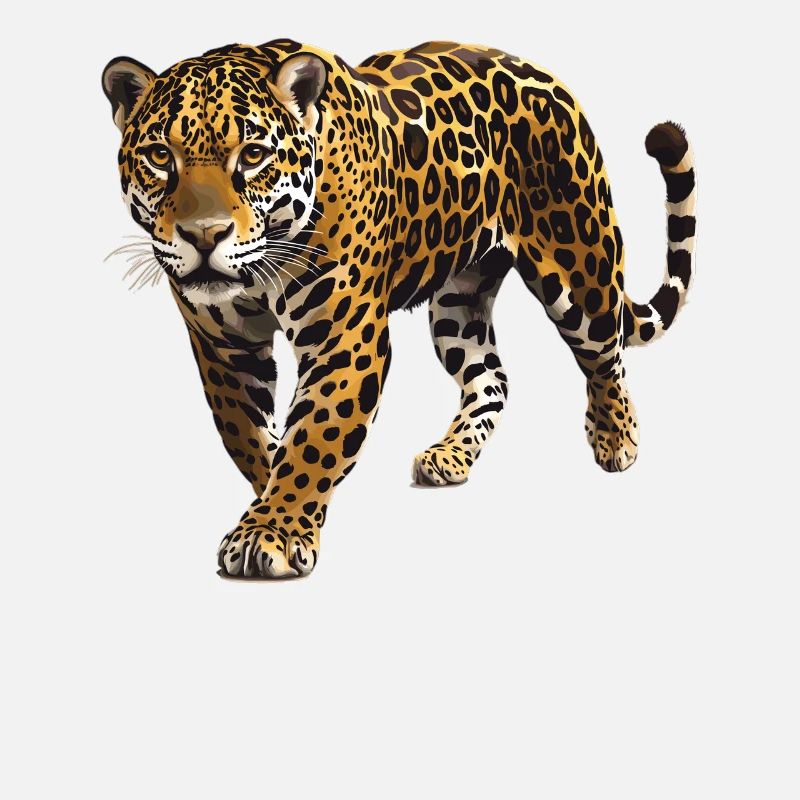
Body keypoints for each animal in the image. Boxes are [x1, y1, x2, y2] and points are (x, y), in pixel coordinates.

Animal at [102, 39, 696, 578]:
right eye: (161, 157)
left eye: (252, 156)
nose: (204, 235)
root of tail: (545, 74)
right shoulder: (225, 347)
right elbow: (248, 435)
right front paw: (269, 507)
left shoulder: (343, 338)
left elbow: (312, 436)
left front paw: (274, 531)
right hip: (458, 300)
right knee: (491, 376)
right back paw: (449, 457)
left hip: (578, 264)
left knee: (605, 354)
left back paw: (616, 439)